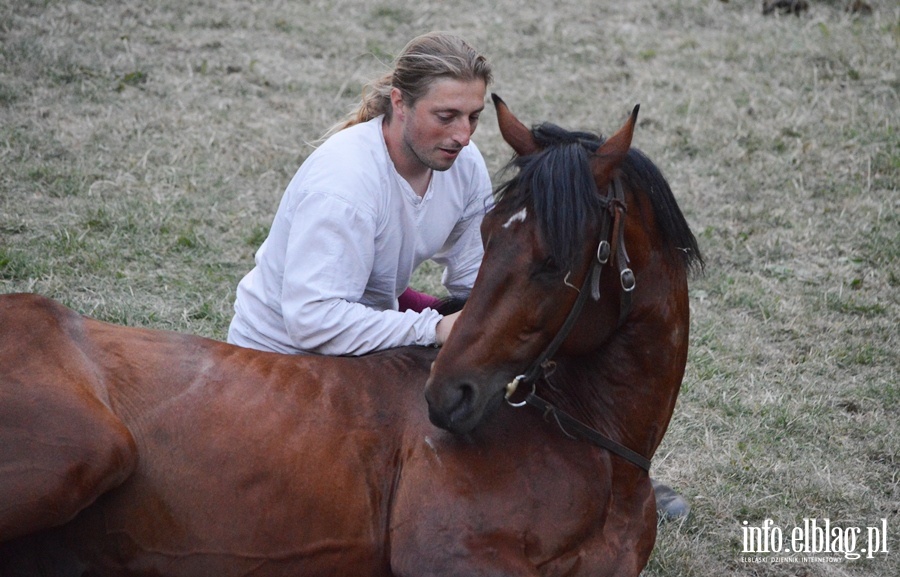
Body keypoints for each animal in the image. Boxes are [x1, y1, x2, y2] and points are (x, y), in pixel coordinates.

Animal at [0, 97, 700, 572]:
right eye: (487, 232)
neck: (598, 446)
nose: (448, 395)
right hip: (90, 451)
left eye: (553, 263)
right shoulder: (449, 557)